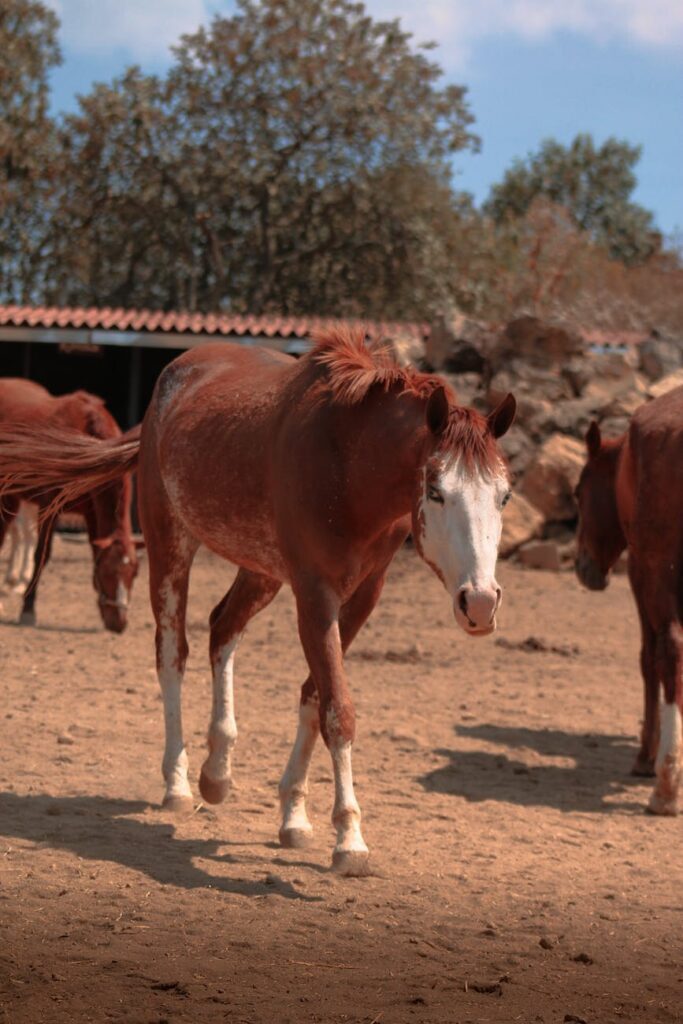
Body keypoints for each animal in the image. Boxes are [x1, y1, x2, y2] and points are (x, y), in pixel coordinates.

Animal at [0, 378, 139, 630]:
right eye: (107, 573)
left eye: (134, 573)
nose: (119, 623)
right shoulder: (49, 508)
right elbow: (41, 556)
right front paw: (28, 610)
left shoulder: (92, 513)